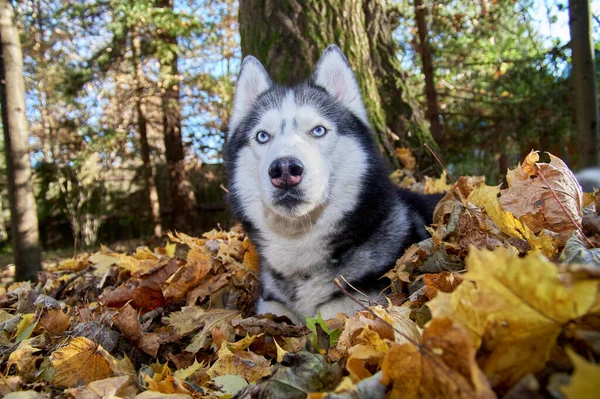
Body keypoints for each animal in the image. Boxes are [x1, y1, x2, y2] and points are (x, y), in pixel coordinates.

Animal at [225, 44, 440, 324]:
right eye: (262, 136)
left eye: (318, 130)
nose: (285, 170)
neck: (300, 245)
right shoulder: (271, 305)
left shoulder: (356, 304)